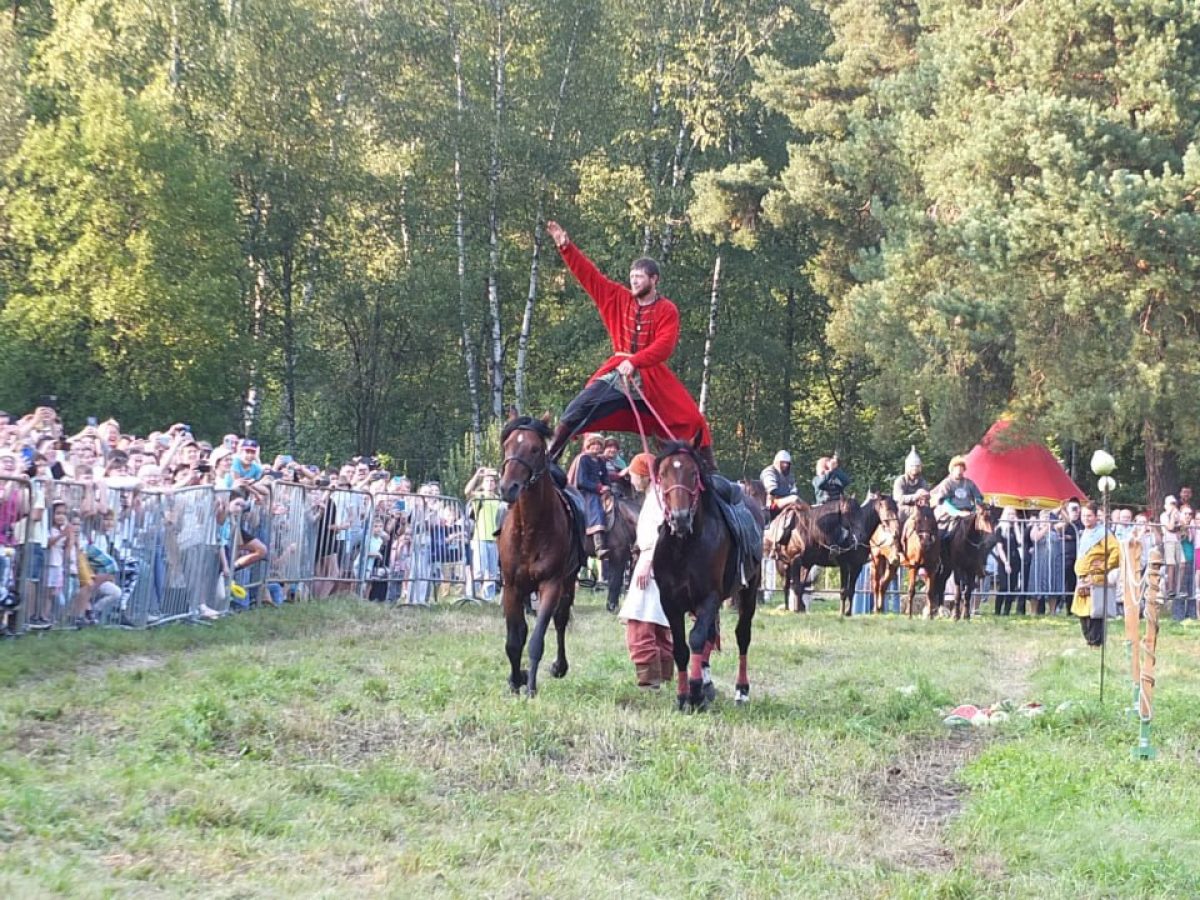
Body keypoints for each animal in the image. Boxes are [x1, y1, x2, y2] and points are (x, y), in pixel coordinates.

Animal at [496, 415, 580, 696]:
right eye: (507, 445)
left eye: (535, 449)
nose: (508, 488)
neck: (530, 529)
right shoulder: (511, 587)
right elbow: (514, 640)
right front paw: (515, 680)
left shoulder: (551, 584)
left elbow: (535, 640)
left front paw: (530, 687)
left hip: (568, 581)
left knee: (561, 619)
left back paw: (559, 666)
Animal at [652, 444, 763, 710]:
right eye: (662, 474)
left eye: (694, 474)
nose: (680, 517)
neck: (684, 547)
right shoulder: (669, 602)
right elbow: (680, 647)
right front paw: (684, 696)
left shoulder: (709, 597)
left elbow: (696, 639)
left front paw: (695, 692)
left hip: (749, 590)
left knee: (742, 635)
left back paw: (741, 690)